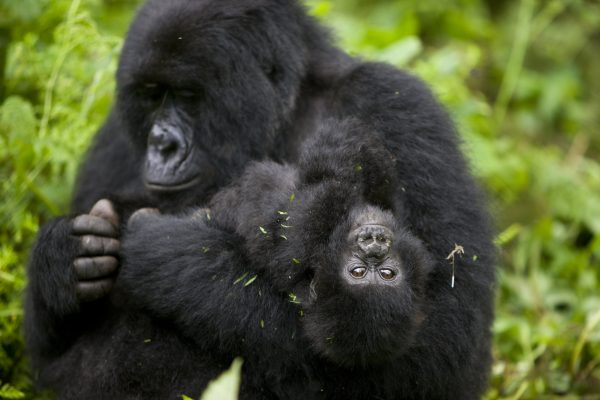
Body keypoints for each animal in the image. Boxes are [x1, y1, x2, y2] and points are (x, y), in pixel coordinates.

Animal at [24, 0, 496, 400]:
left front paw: (172, 257)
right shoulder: (115, 138)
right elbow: (49, 356)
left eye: (189, 98)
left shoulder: (397, 104)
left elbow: (441, 345)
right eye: (152, 95)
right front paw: (63, 257)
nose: (161, 146)